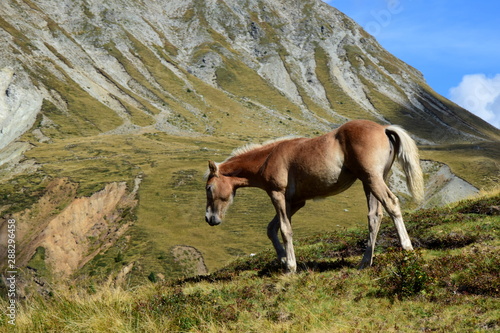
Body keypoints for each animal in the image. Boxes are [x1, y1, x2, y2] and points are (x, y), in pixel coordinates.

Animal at [205, 118, 424, 270]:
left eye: (208, 188)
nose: (209, 218)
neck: (268, 158)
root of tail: (384, 128)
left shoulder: (277, 195)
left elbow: (284, 230)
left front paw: (290, 266)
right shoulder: (295, 202)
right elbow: (271, 228)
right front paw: (283, 258)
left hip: (373, 179)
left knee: (392, 204)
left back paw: (407, 248)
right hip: (370, 182)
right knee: (375, 216)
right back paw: (364, 262)